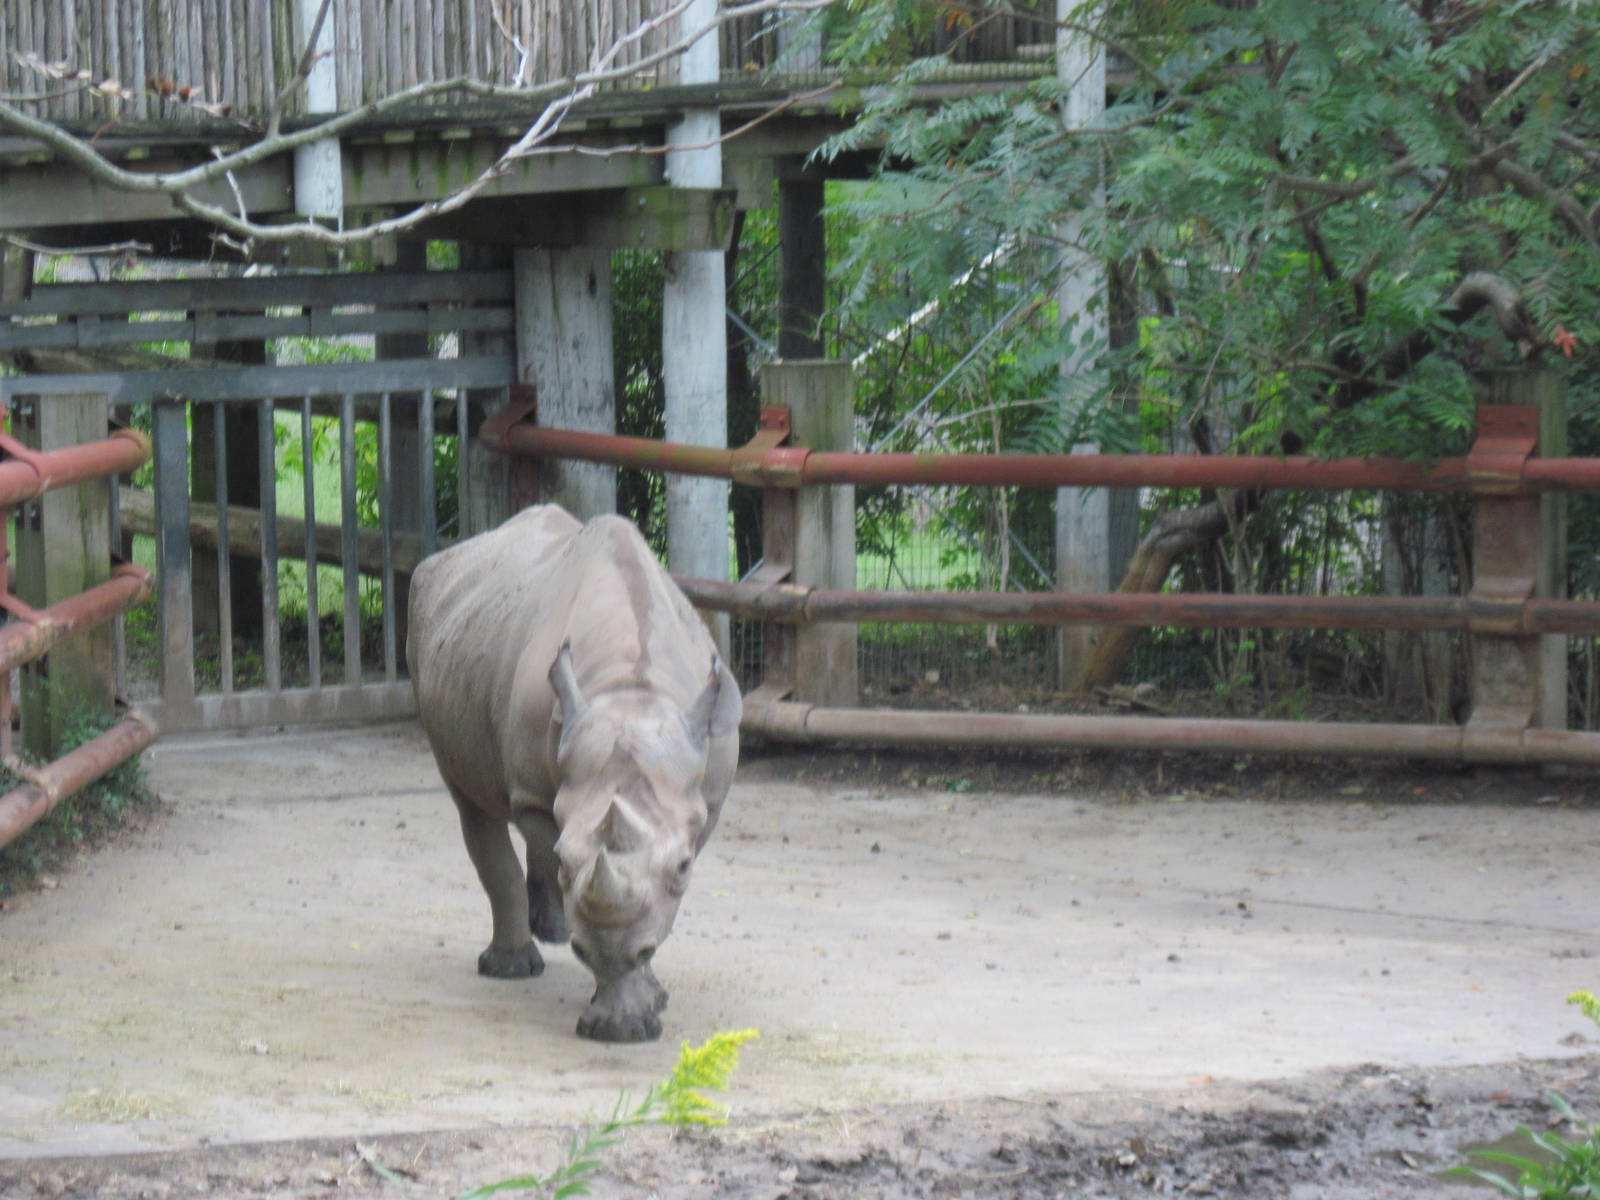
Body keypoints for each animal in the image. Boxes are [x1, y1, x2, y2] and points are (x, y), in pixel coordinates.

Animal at [406, 504, 741, 1042]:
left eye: (684, 865)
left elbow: (657, 909)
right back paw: (514, 965)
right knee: (474, 804)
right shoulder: (536, 799)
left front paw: (644, 1003)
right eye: (567, 860)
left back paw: (554, 932)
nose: (600, 952)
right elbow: (546, 841)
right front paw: (621, 1020)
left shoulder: (704, 804)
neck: (630, 689)